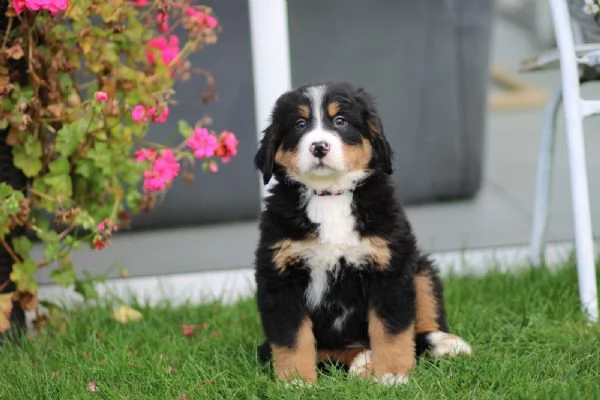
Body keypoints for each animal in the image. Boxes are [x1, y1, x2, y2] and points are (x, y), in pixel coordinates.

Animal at [251, 81, 472, 384]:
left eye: (340, 121)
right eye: (299, 124)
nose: (319, 146)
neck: (330, 196)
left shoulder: (389, 268)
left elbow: (392, 330)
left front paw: (392, 374)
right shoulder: (280, 276)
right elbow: (292, 337)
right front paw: (296, 381)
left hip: (419, 268)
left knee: (421, 322)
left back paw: (442, 343)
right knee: (327, 350)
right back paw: (363, 360)